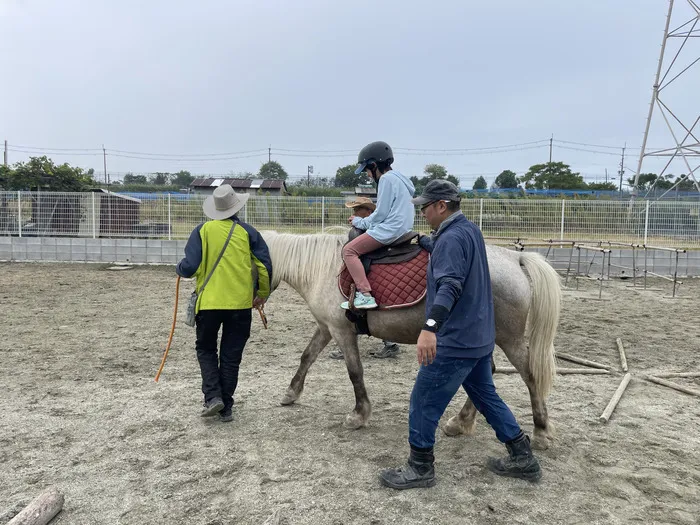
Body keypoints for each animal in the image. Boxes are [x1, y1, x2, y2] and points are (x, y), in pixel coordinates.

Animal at [262, 231, 564, 448]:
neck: (321, 268)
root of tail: (514, 258)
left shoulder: (342, 331)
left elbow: (354, 372)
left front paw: (359, 414)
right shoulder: (326, 328)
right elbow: (307, 356)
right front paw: (291, 393)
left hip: (509, 339)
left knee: (529, 375)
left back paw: (540, 432)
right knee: (486, 373)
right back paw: (460, 422)